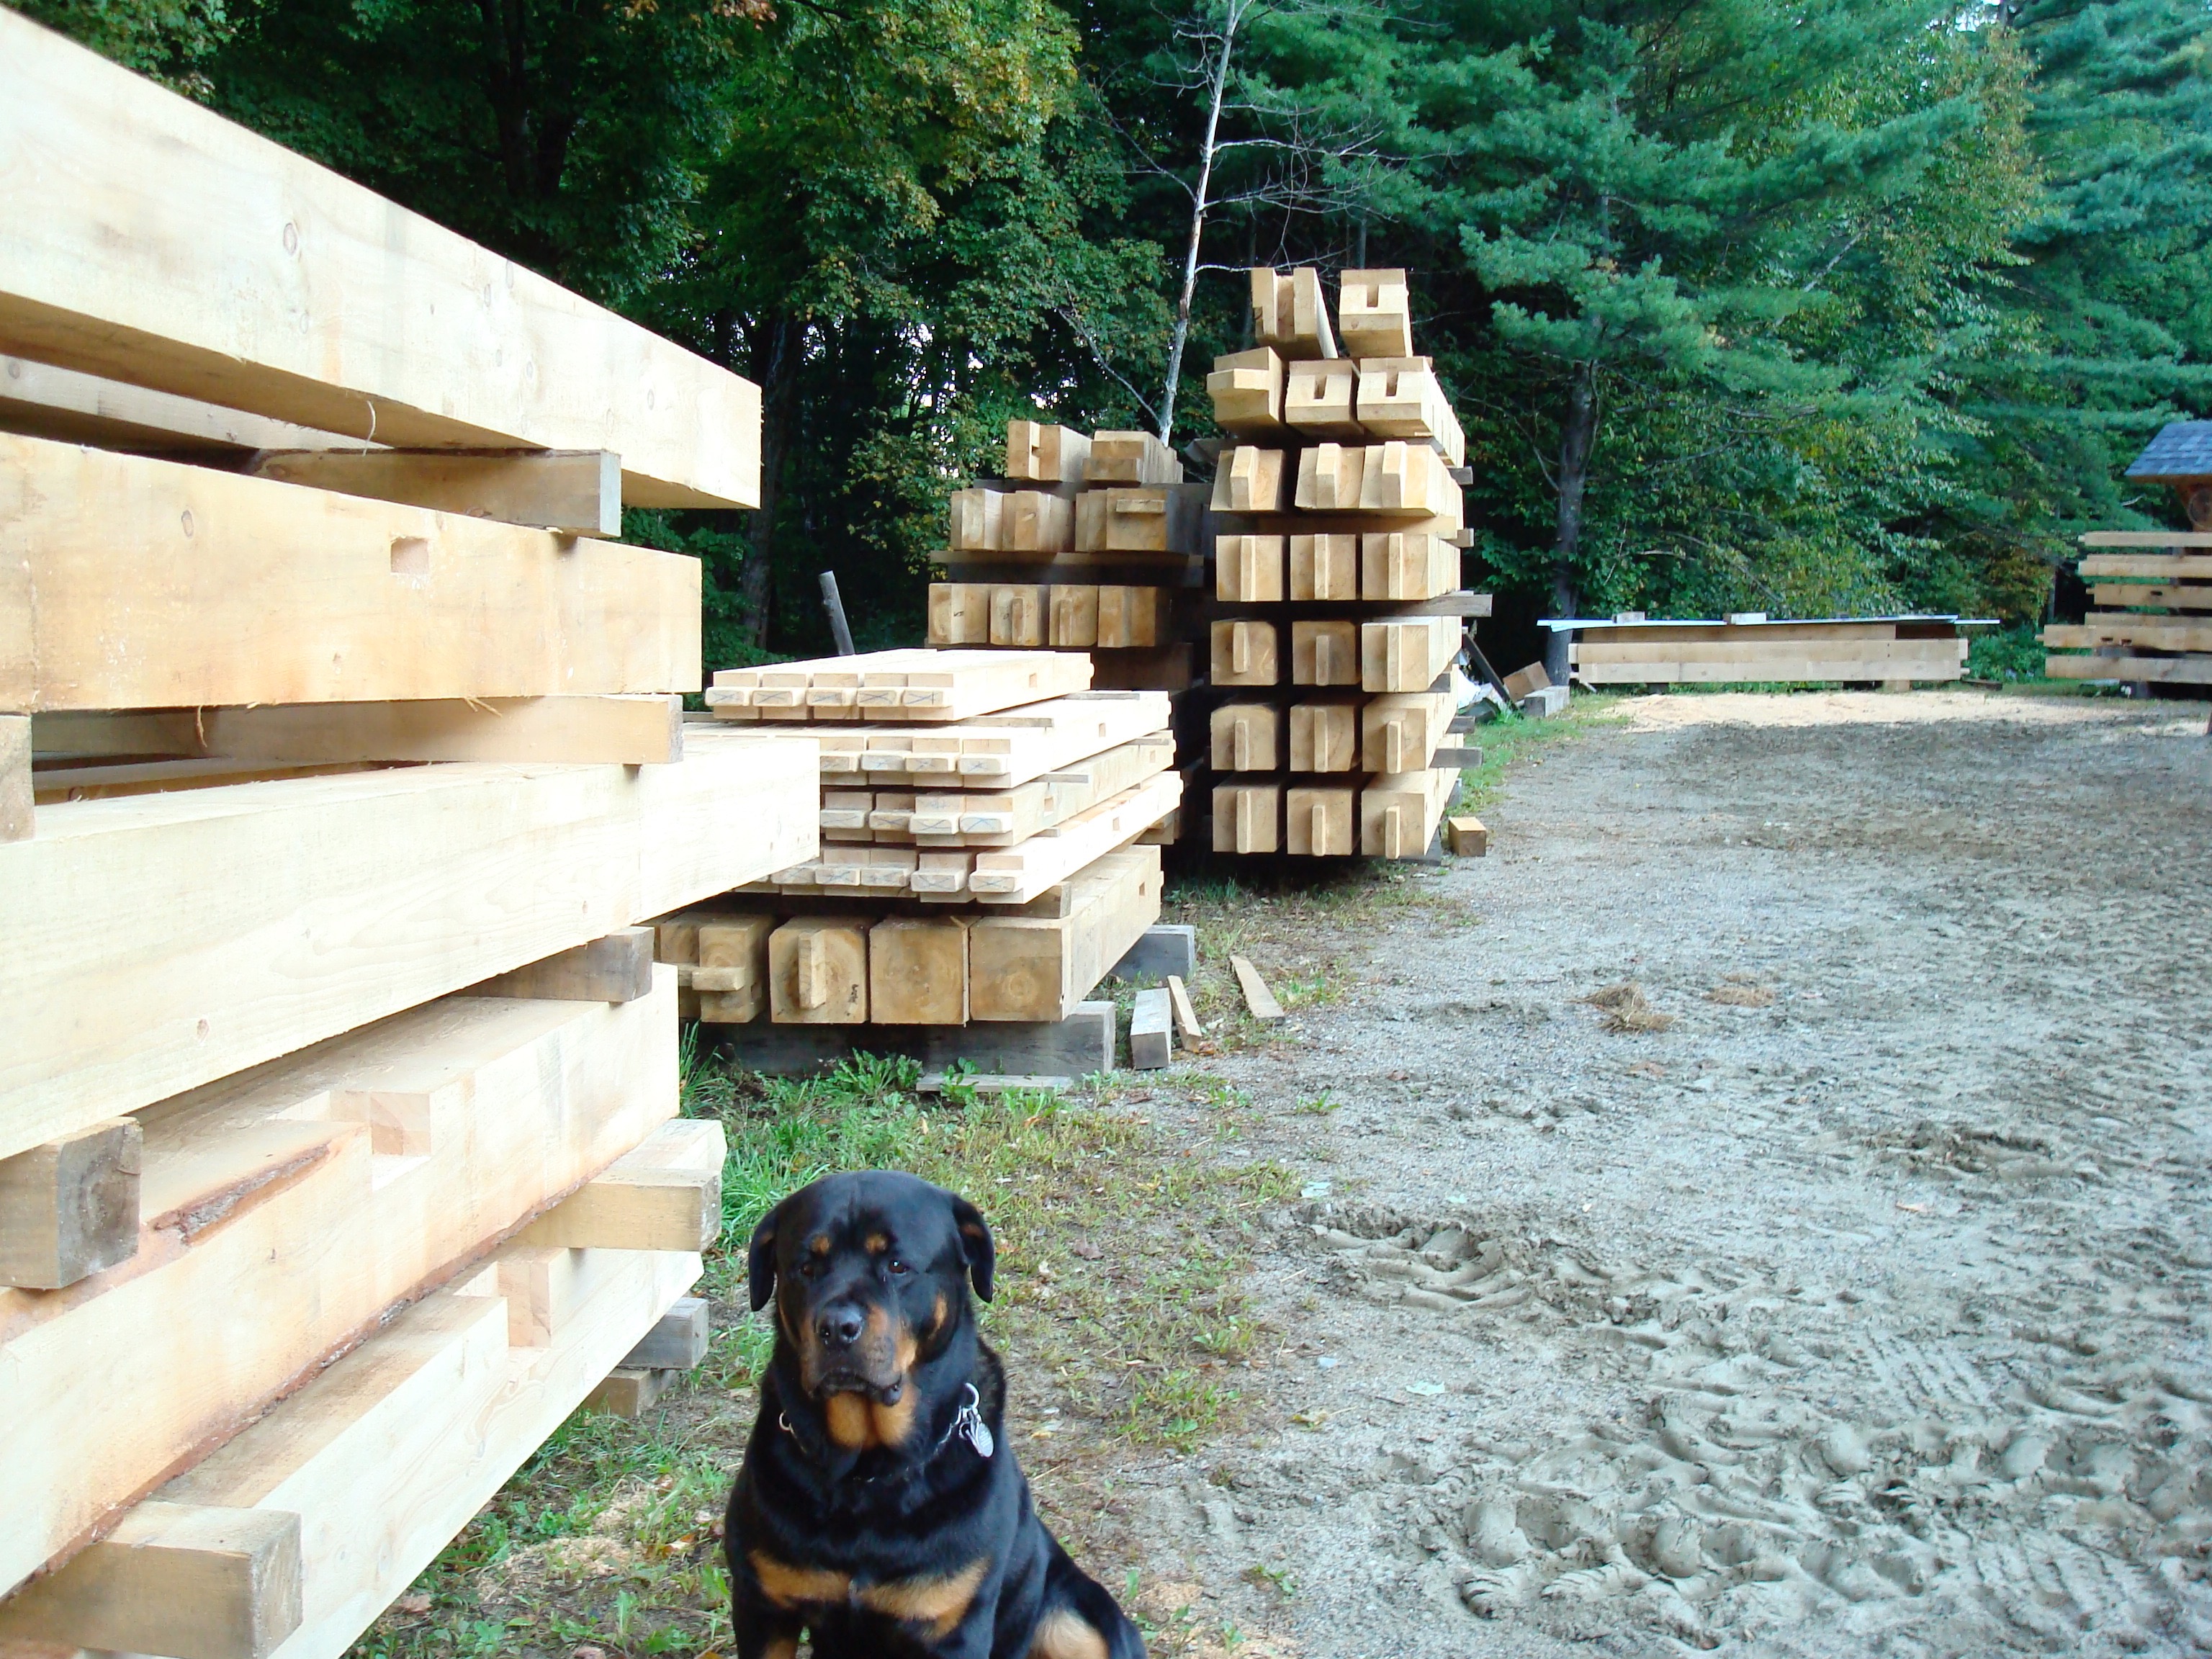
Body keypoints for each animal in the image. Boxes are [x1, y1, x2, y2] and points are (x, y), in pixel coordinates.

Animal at [729, 1177, 1150, 1659]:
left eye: (897, 1266)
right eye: (805, 1267)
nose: (837, 1327)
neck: (868, 1476)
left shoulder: (953, 1627)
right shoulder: (762, 1606)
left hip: (1077, 1619)